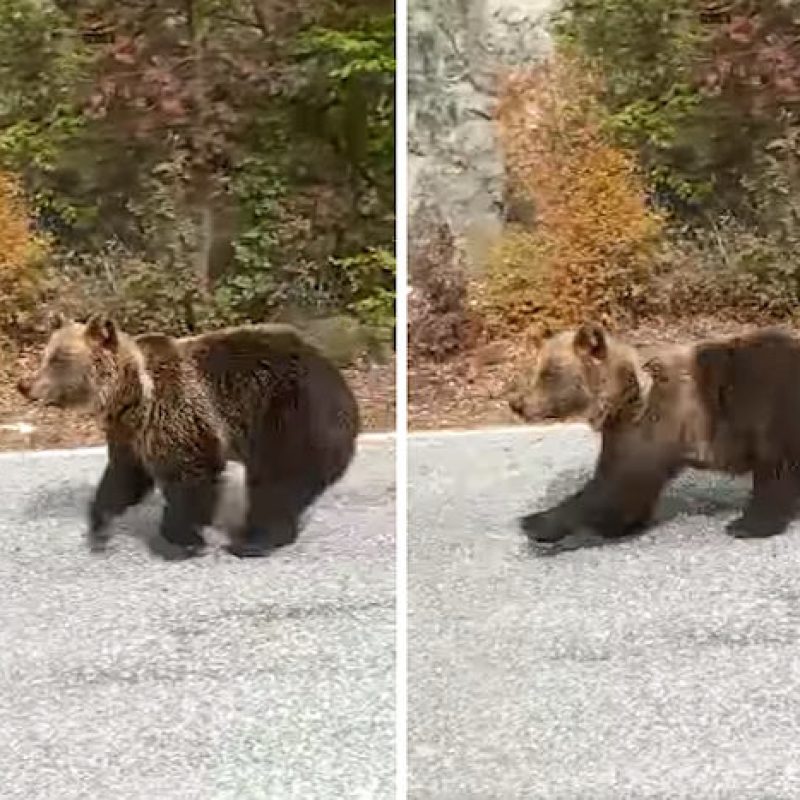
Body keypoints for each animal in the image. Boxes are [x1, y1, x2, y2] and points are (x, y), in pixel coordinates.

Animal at [17, 312, 360, 556]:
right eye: (46, 355)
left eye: (58, 359)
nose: (25, 385)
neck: (132, 395)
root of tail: (340, 382)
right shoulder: (130, 433)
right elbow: (122, 478)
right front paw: (99, 528)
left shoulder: (176, 413)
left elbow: (189, 475)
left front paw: (185, 539)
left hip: (287, 413)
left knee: (276, 479)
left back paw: (252, 541)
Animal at [506, 324, 800, 544]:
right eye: (537, 371)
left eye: (550, 373)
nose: (518, 404)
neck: (623, 398)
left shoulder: (653, 424)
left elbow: (618, 482)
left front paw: (535, 522)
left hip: (769, 407)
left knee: (774, 469)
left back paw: (747, 524)